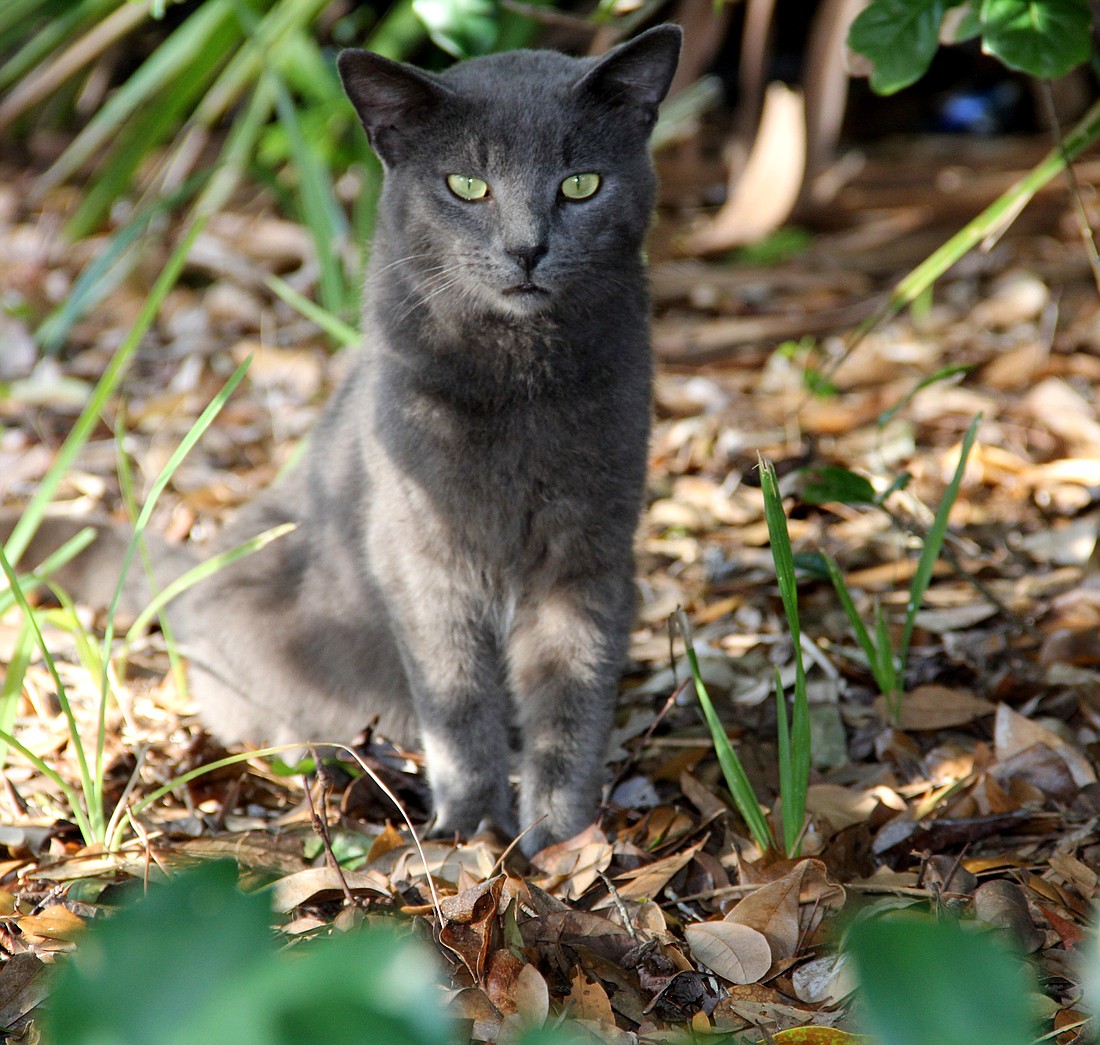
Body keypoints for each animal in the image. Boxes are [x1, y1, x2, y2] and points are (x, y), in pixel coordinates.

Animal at [6, 26, 677, 858]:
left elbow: (573, 698)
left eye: (581, 184)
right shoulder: (421, 551)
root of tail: (196, 573)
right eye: (467, 186)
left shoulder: (590, 551)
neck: (524, 381)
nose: (527, 248)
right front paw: (470, 829)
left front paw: (560, 840)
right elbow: (457, 697)